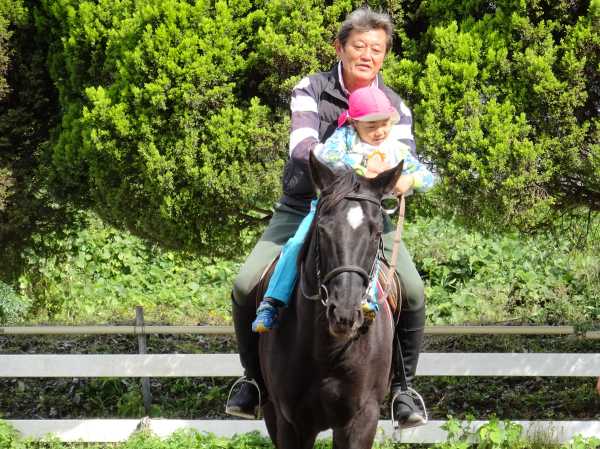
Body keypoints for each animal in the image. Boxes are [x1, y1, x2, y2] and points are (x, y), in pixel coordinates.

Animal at [258, 152, 403, 449]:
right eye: (323, 229)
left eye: (375, 232)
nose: (345, 313)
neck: (327, 350)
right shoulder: (290, 423)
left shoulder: (361, 420)